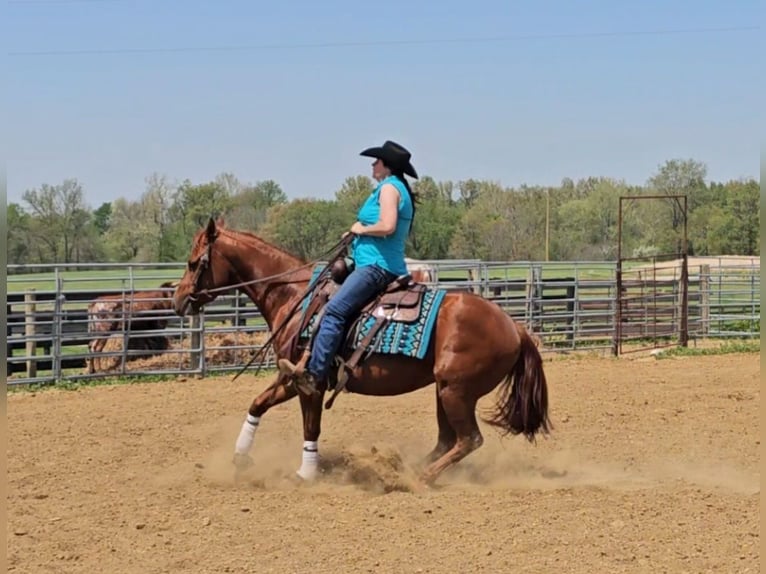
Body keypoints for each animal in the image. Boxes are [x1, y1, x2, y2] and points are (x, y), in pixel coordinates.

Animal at [172, 218, 552, 488]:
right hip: (445, 390)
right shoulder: (289, 376)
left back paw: (417, 478)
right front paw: (239, 458)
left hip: (457, 391)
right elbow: (257, 404)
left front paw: (305, 474)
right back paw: (405, 468)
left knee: (469, 440)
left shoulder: (309, 382)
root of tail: (514, 326)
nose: (178, 301)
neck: (296, 296)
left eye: (192, 263)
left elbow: (311, 428)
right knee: (448, 440)